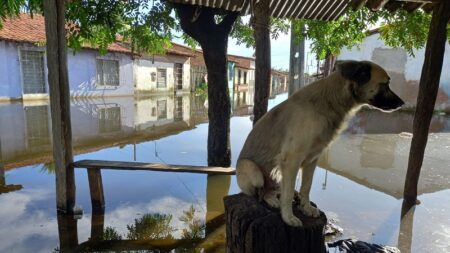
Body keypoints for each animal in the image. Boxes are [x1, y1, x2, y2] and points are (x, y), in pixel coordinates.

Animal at [236, 60, 404, 226]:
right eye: (385, 84)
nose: (402, 103)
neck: (330, 102)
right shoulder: (291, 159)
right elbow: (287, 193)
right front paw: (288, 217)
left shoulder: (312, 160)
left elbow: (306, 187)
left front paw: (306, 207)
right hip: (254, 171)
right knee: (261, 192)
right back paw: (272, 199)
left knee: (275, 189)